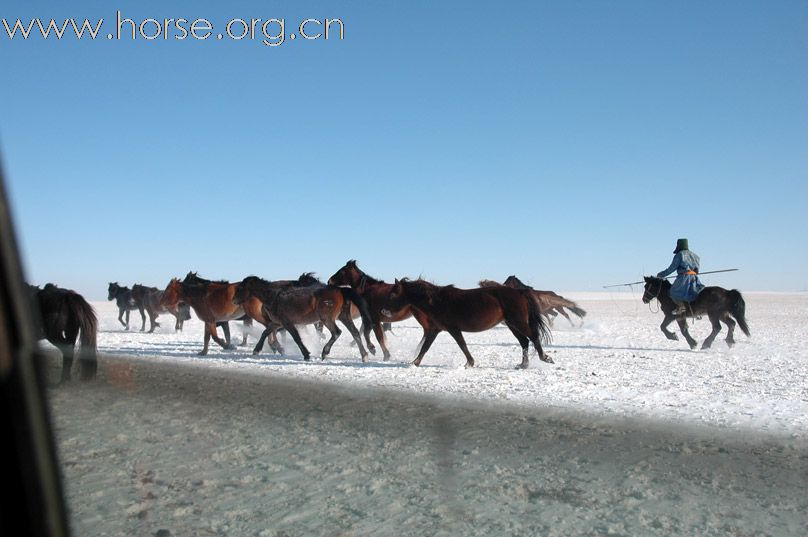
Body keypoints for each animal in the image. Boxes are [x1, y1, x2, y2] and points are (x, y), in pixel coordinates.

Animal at [386, 276, 552, 368]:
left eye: (393, 294)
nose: (384, 311)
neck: (436, 301)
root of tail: (519, 292)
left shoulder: (453, 328)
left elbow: (462, 344)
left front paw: (469, 363)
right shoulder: (435, 329)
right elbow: (425, 347)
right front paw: (414, 363)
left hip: (518, 322)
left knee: (533, 337)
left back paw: (545, 358)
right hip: (512, 325)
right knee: (524, 341)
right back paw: (523, 365)